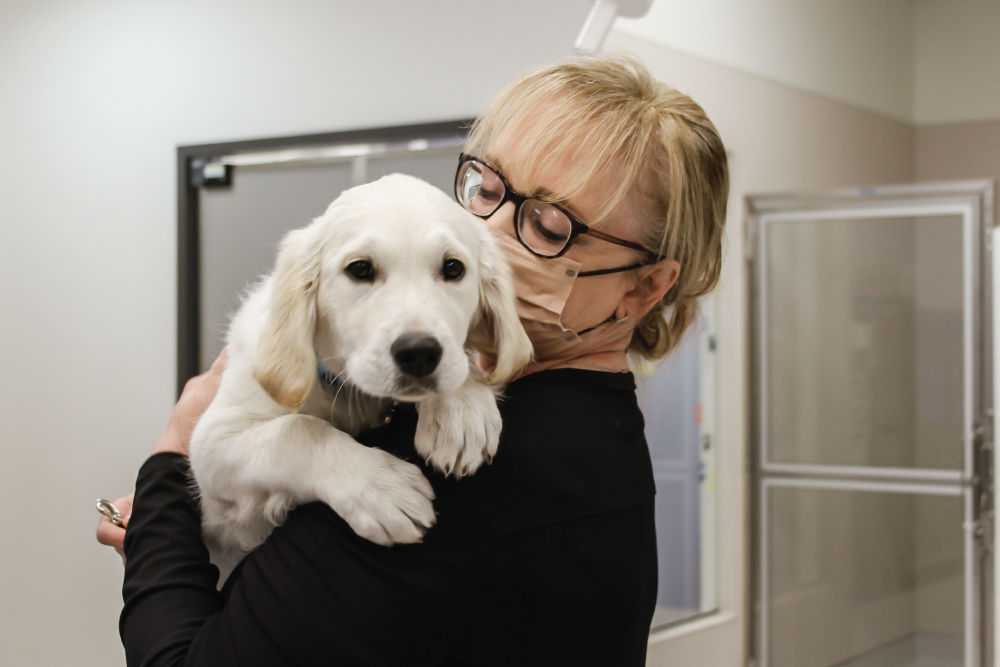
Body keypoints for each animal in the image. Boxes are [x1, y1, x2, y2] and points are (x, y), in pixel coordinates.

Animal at [188, 175, 532, 568]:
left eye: (453, 268)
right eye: (360, 269)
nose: (419, 353)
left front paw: (460, 412)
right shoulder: (211, 446)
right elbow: (299, 430)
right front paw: (381, 488)